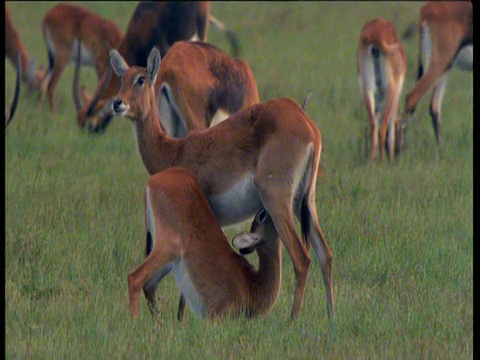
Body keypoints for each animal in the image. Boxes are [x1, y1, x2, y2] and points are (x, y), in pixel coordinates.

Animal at [129, 167, 284, 320]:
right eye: (262, 215)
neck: (251, 285)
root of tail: (153, 180)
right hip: (169, 248)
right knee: (135, 278)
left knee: (149, 285)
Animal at [358, 16, 406, 163]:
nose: (399, 151)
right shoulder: (396, 95)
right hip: (390, 89)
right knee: (384, 126)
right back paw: (384, 161)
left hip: (367, 89)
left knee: (373, 125)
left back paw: (372, 162)